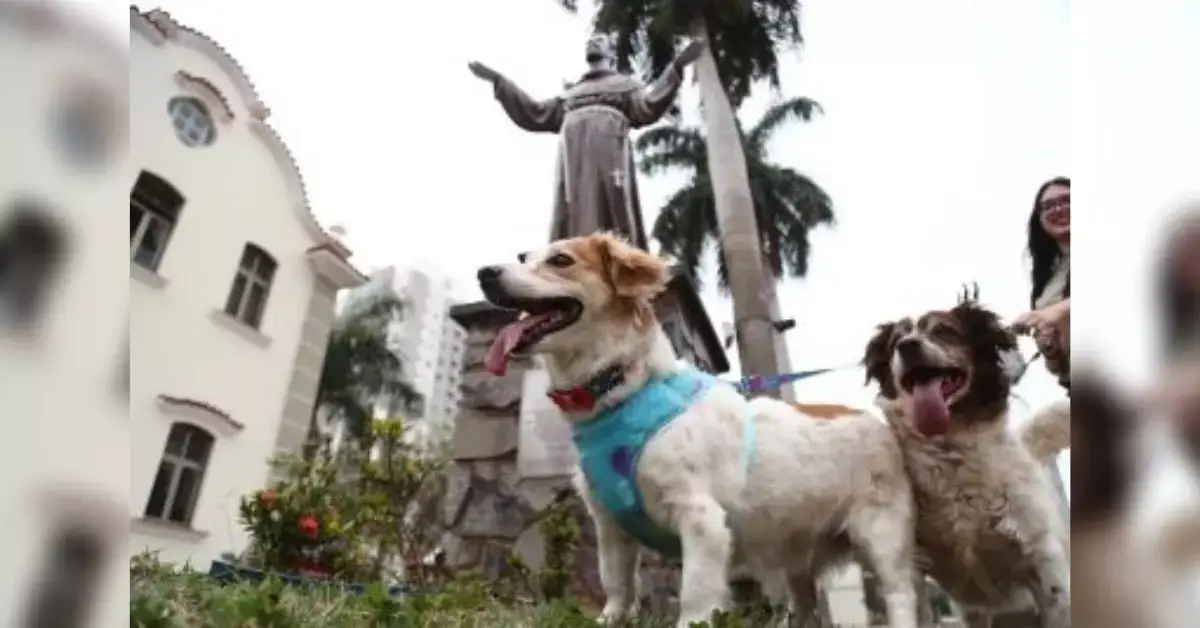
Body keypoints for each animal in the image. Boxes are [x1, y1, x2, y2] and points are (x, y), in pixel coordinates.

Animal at [477, 234, 916, 628]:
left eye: (561, 260)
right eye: (524, 256)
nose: (485, 273)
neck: (625, 391)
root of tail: (875, 420)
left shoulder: (701, 520)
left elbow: (694, 595)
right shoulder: (610, 526)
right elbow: (615, 584)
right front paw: (609, 617)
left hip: (882, 539)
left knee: (901, 597)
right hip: (797, 558)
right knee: (806, 609)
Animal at [859, 297, 1075, 624]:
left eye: (944, 331)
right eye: (896, 341)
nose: (907, 346)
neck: (952, 450)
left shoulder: (1043, 563)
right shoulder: (912, 567)